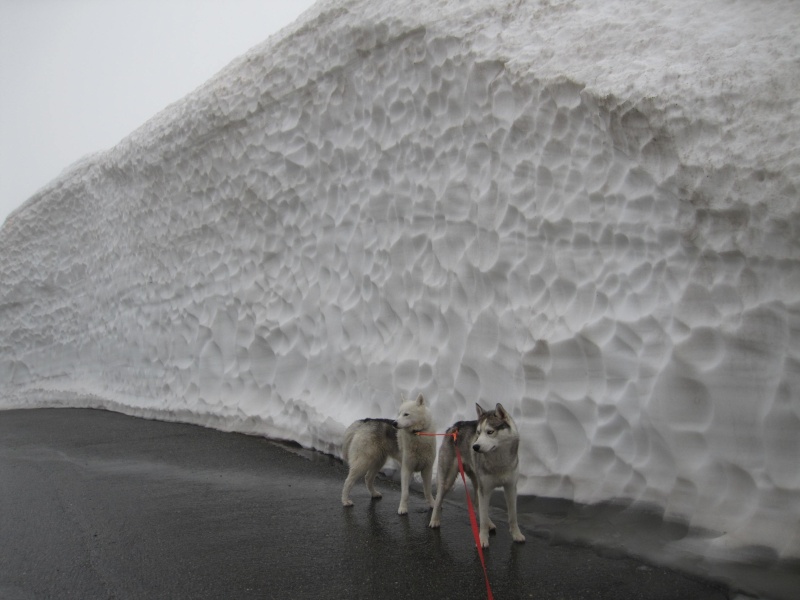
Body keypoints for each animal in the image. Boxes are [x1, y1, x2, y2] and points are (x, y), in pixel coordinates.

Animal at [428, 406, 528, 548]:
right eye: (478, 433)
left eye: (490, 432)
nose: (475, 447)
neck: (499, 462)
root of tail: (454, 426)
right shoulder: (485, 489)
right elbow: (484, 516)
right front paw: (482, 540)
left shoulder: (510, 488)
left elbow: (512, 516)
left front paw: (516, 535)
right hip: (448, 480)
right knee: (438, 500)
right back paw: (434, 520)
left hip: (476, 481)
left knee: (477, 503)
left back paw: (490, 523)